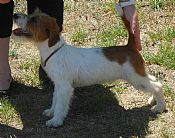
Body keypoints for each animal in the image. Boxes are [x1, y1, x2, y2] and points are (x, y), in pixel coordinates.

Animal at [13, 12, 166, 126]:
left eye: (34, 20)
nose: (15, 15)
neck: (54, 50)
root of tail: (129, 46)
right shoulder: (58, 85)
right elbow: (55, 100)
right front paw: (51, 112)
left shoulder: (64, 87)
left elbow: (61, 106)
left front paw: (56, 120)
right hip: (140, 75)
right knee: (154, 80)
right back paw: (153, 100)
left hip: (136, 79)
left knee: (157, 86)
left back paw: (159, 107)